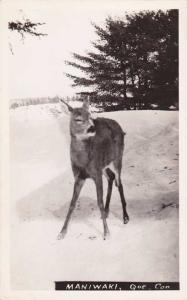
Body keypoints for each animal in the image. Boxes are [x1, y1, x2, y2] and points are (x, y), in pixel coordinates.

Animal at [57, 99, 129, 240]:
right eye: (78, 119)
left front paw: (106, 232)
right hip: (103, 165)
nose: (92, 127)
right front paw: (62, 232)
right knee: (111, 177)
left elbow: (99, 202)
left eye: (90, 115)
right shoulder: (79, 176)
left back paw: (125, 217)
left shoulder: (96, 174)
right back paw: (106, 212)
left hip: (118, 157)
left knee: (119, 182)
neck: (83, 161)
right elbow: (72, 203)